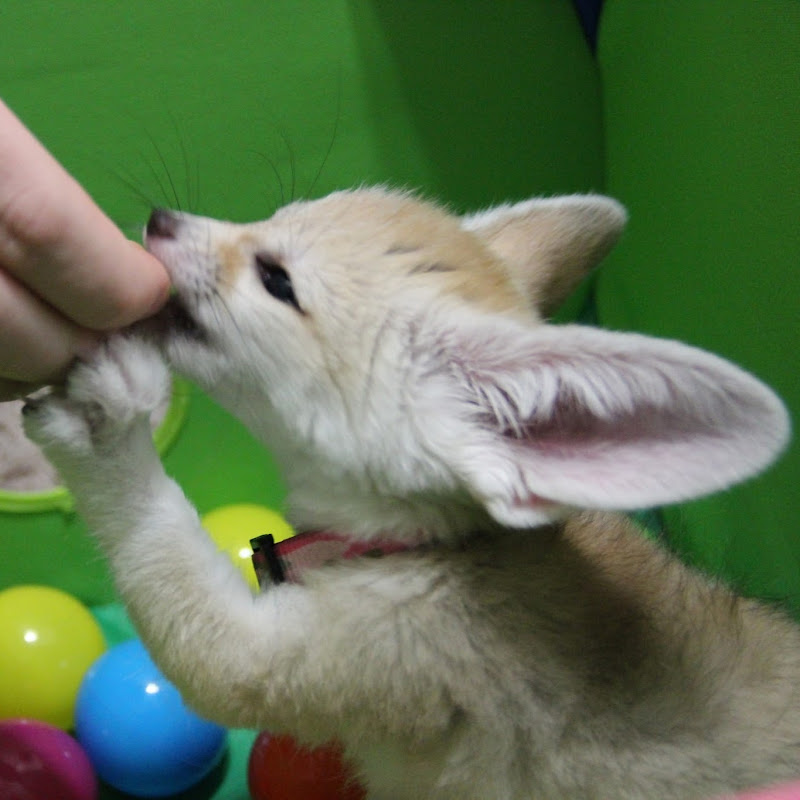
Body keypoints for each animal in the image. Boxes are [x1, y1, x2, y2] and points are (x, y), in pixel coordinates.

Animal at [23, 187, 797, 799]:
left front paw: (107, 427)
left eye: (277, 280)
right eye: (276, 213)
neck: (443, 545)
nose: (160, 219)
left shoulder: (352, 653)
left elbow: (156, 545)